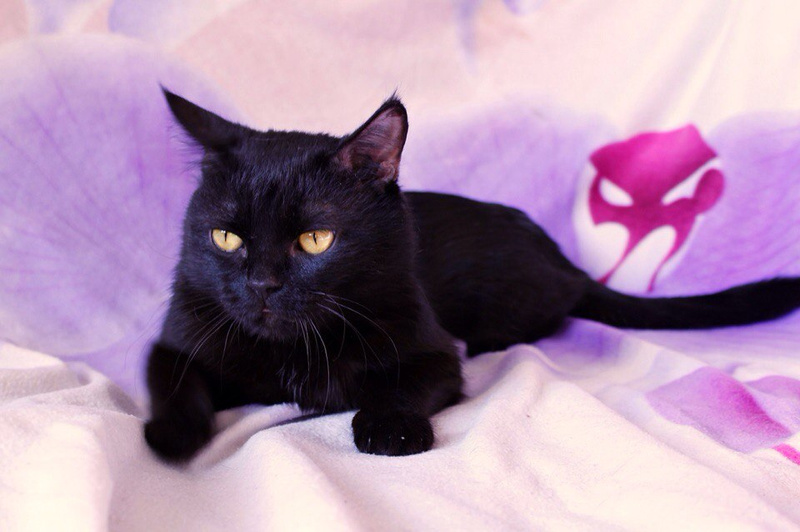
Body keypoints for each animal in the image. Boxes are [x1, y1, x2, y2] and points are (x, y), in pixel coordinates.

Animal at [145, 89, 800, 462]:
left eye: (315, 240)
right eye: (226, 238)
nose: (261, 285)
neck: (292, 354)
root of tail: (559, 254)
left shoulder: (432, 349)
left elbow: (401, 382)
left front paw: (390, 428)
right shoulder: (179, 338)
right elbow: (174, 382)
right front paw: (172, 435)